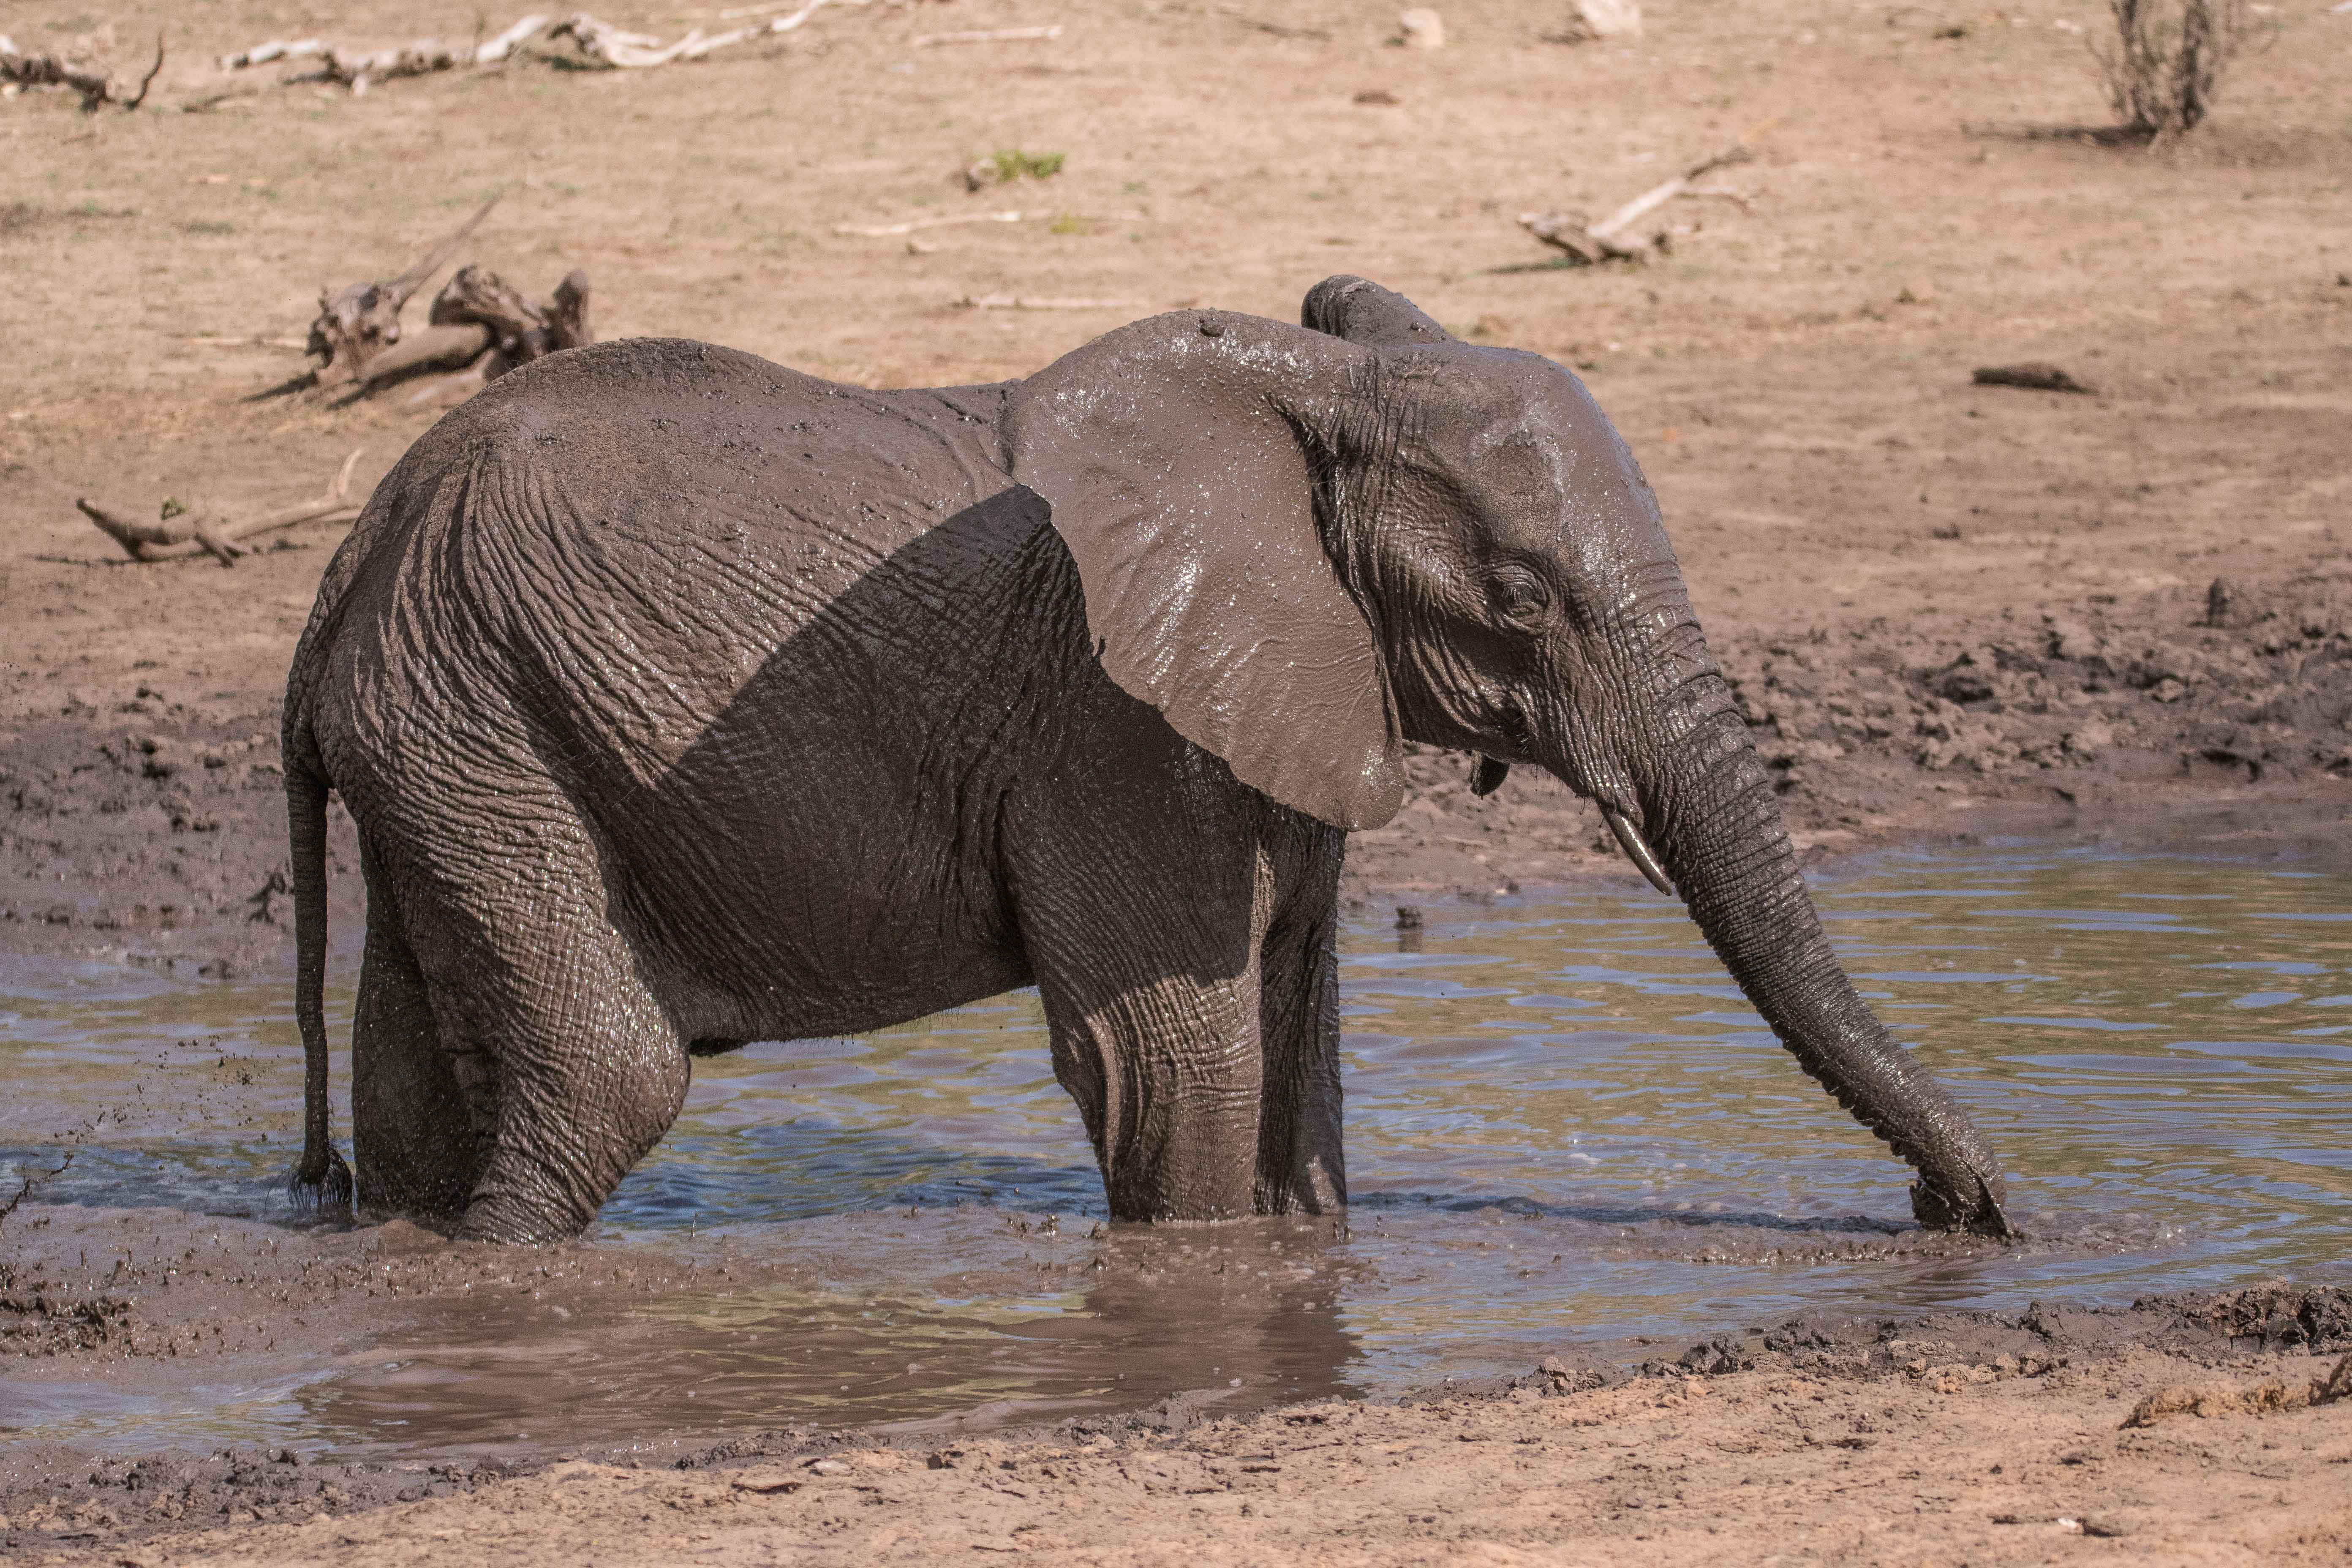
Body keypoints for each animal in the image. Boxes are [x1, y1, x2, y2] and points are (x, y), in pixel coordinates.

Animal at [284, 276, 2013, 1241]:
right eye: (1523, 600)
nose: (1960, 1210)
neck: (1319, 397)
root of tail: (357, 537)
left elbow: (1296, 1045)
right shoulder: (1113, 720)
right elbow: (1172, 1059)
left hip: (447, 728)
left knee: (423, 1074)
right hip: (477, 710)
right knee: (609, 1074)